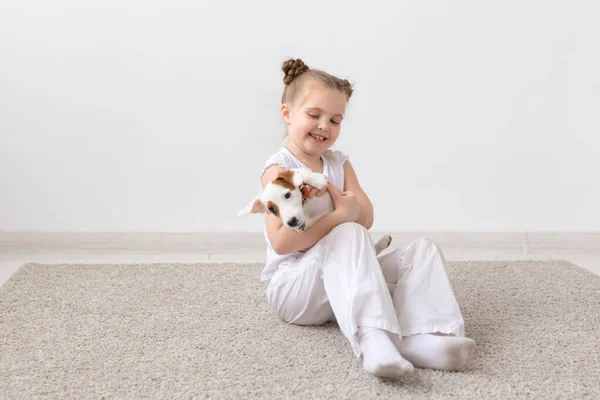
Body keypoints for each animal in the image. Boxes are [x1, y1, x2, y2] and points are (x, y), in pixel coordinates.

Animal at [239, 167, 394, 255]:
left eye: (287, 194)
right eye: (272, 209)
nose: (292, 222)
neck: (306, 205)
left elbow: (301, 172)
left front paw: (317, 180)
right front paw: (301, 226)